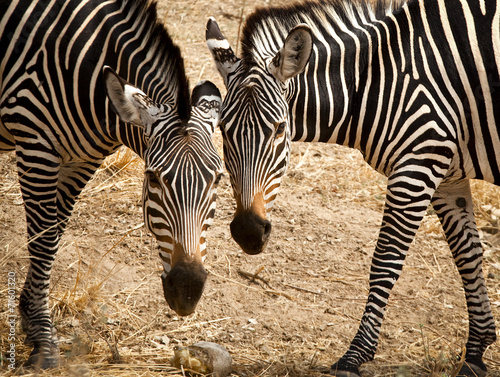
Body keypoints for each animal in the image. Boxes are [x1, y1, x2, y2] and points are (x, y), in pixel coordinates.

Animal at [0, 0, 223, 368]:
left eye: (217, 179)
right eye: (152, 178)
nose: (188, 290)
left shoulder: (82, 159)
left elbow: (55, 234)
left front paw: (30, 316)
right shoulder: (36, 143)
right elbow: (44, 241)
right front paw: (44, 340)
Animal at [205, 0, 498, 374]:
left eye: (279, 129)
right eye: (223, 130)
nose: (248, 232)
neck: (375, 77)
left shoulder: (417, 162)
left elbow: (385, 261)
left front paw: (355, 355)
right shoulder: (447, 173)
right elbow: (468, 256)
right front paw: (475, 353)